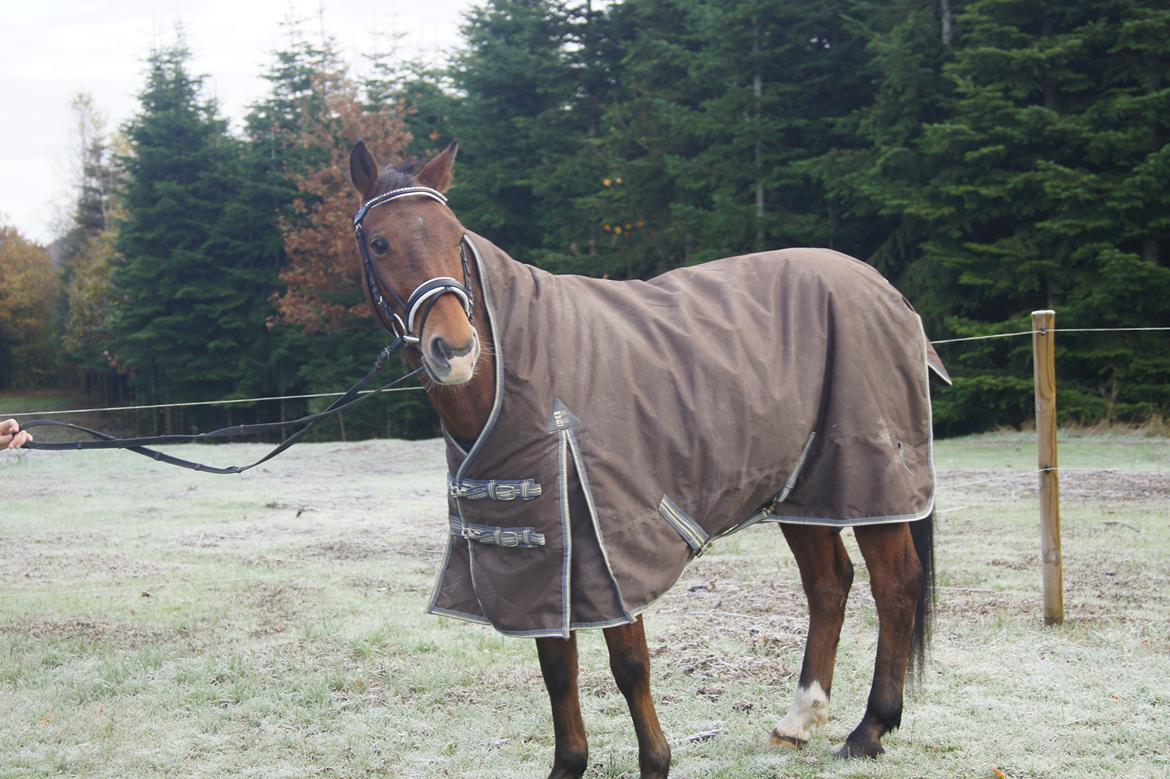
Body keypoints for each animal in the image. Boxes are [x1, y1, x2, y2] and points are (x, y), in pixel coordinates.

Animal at [347, 139, 943, 777]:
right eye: (379, 242)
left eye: (456, 235)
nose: (456, 349)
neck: (519, 369)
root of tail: (884, 288)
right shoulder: (542, 554)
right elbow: (558, 668)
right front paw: (569, 766)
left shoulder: (611, 543)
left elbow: (629, 664)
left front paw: (655, 762)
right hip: (804, 490)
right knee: (829, 584)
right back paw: (799, 721)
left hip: (868, 480)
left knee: (896, 585)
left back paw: (870, 729)